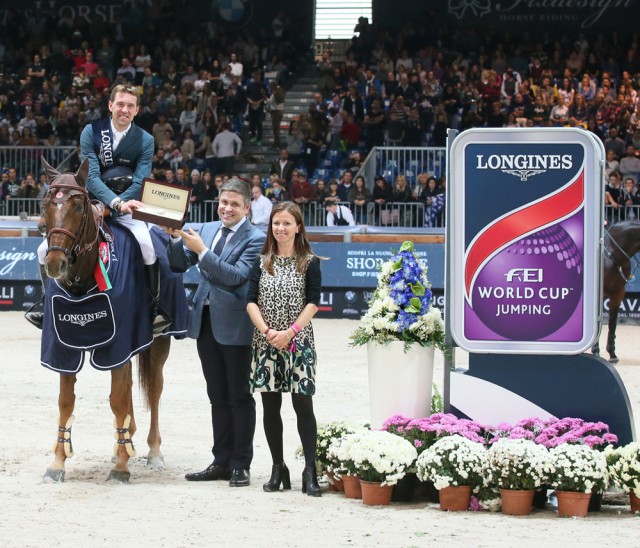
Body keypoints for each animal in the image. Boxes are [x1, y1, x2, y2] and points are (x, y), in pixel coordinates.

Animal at [39, 157, 186, 480]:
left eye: (78, 206)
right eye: (46, 204)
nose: (55, 263)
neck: (82, 280)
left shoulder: (118, 343)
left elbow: (118, 399)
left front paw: (121, 467)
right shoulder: (63, 347)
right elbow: (66, 402)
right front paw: (57, 462)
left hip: (159, 342)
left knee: (154, 390)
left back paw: (153, 451)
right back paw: (126, 441)